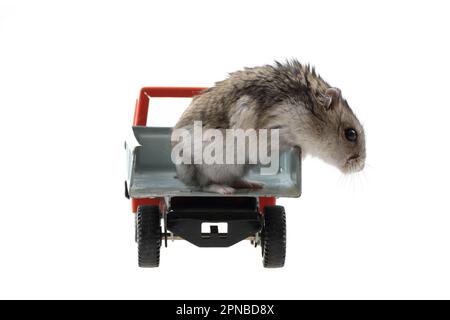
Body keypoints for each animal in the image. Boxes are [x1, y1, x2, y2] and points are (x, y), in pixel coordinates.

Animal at [171, 60, 364, 195]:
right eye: (351, 134)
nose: (360, 167)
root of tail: (180, 175)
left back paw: (253, 184)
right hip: (204, 167)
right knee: (204, 184)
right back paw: (224, 190)